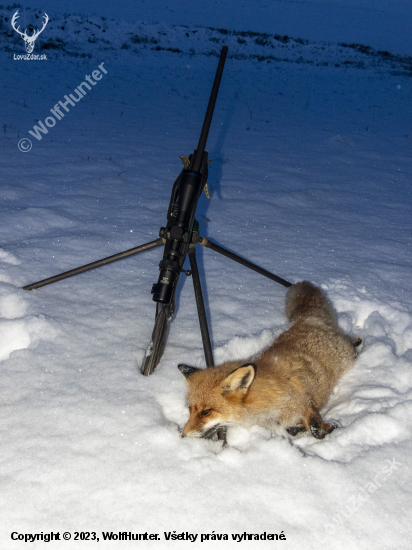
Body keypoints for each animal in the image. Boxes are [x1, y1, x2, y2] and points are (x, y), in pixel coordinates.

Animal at [177, 282, 360, 442]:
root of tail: (306, 319)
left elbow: (316, 430)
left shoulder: (305, 403)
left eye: (206, 411)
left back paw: (358, 341)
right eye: (190, 410)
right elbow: (295, 429)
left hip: (348, 356)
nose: (182, 435)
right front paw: (300, 428)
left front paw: (329, 428)